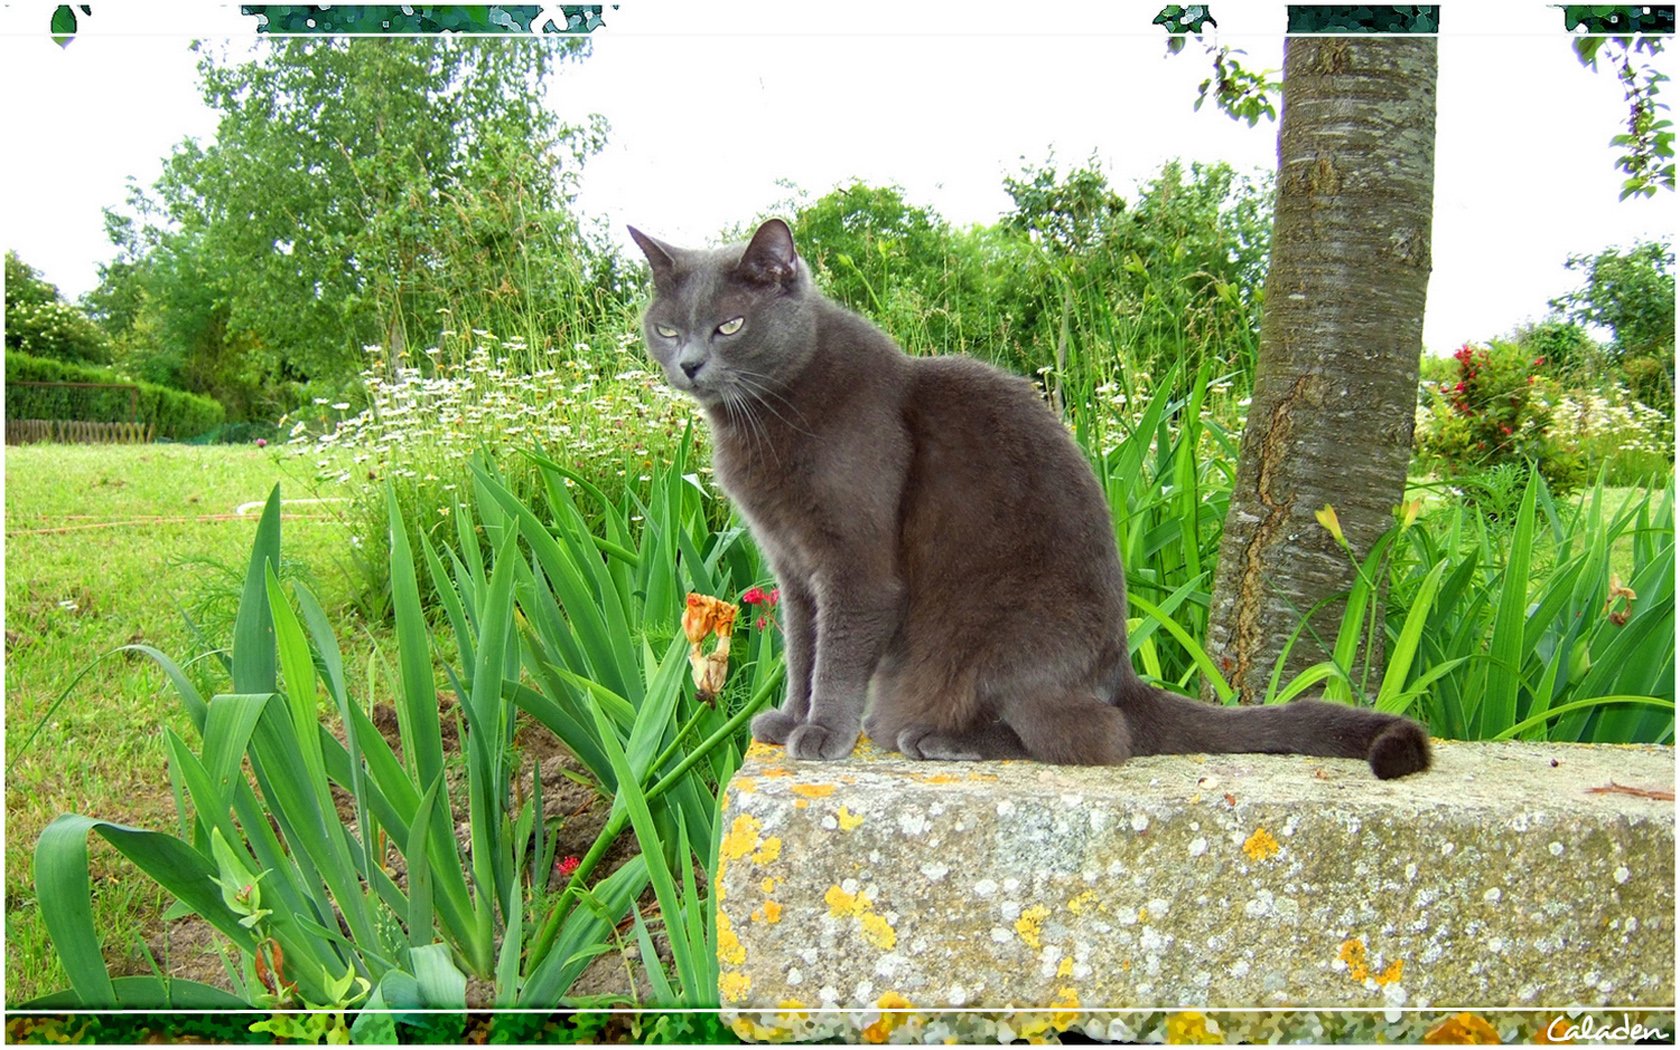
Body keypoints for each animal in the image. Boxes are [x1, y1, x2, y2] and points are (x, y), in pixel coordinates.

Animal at [631, 218, 1431, 779]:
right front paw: (789, 719)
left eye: (731, 324)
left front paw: (823, 734)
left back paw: (937, 739)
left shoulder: (855, 567)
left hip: (1003, 641)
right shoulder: (794, 570)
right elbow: (802, 650)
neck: (765, 415)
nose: (690, 363)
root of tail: (1119, 675)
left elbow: (837, 657)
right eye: (666, 328)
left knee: (1091, 738)